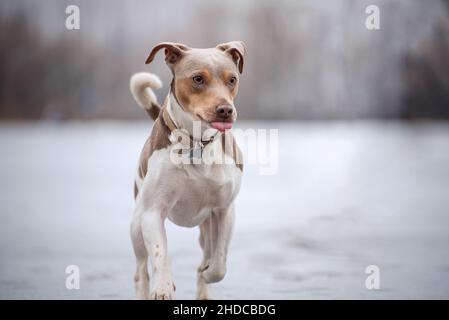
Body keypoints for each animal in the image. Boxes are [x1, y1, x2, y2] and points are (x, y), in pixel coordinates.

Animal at [129, 41, 245, 298]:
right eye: (198, 79)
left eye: (232, 79)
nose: (225, 110)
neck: (197, 144)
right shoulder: (152, 212)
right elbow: (160, 252)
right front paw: (163, 286)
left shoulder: (224, 210)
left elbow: (219, 261)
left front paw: (208, 272)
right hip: (137, 224)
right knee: (141, 269)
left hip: (206, 227)